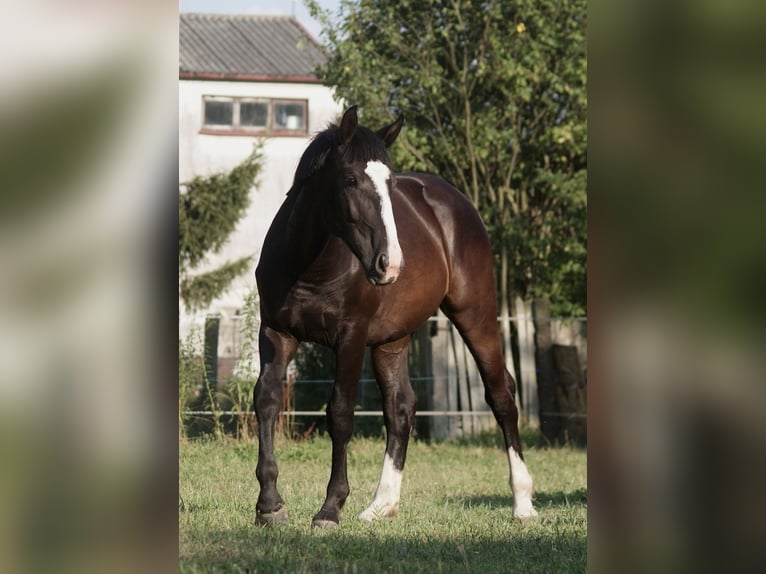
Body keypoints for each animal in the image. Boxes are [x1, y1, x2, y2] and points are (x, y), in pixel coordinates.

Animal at [255, 106, 536, 528]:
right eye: (351, 179)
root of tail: (455, 202)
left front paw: (330, 508)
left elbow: (340, 413)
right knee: (401, 408)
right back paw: (381, 504)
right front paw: (269, 504)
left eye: (389, 183)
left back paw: (523, 502)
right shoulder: (276, 333)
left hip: (476, 314)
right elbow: (267, 401)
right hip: (392, 339)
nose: (389, 264)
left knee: (501, 394)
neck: (308, 266)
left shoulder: (350, 337)